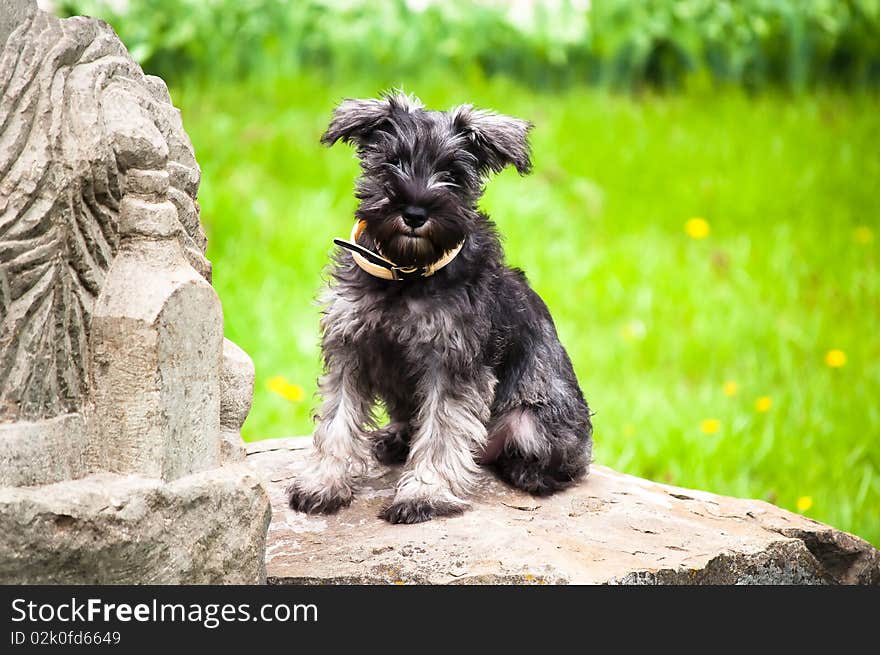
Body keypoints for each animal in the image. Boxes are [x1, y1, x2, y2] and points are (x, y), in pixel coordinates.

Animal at [288, 92, 592, 524]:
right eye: (391, 161)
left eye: (452, 172)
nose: (415, 213)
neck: (405, 274)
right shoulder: (350, 348)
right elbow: (337, 421)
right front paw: (324, 483)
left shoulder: (451, 364)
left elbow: (441, 432)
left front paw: (423, 495)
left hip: (531, 420)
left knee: (562, 462)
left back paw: (527, 471)